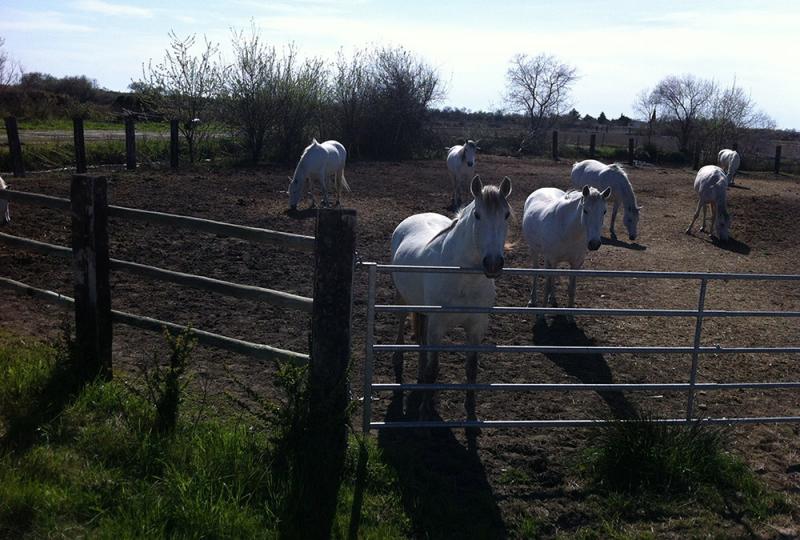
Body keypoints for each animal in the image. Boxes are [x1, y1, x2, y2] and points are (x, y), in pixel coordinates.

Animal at [392, 175, 516, 420]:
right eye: (477, 214)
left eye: (506, 215)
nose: (493, 263)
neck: (464, 280)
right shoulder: (437, 327)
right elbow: (433, 370)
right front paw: (424, 415)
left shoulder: (476, 327)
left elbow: (471, 369)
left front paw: (471, 410)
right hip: (403, 299)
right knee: (402, 325)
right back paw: (399, 360)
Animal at [520, 186, 608, 320]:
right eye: (585, 210)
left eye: (604, 212)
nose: (594, 243)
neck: (568, 230)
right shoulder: (552, 259)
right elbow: (546, 286)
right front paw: (541, 315)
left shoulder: (576, 264)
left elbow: (571, 289)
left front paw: (570, 317)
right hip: (534, 251)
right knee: (535, 272)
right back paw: (532, 301)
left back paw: (553, 299)